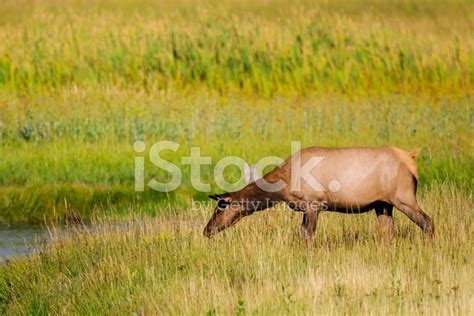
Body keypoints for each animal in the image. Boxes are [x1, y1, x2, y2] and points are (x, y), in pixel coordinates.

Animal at [202, 147, 436, 241]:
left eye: (220, 207)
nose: (206, 231)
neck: (283, 187)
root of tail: (411, 158)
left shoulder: (314, 203)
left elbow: (307, 234)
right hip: (383, 204)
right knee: (388, 232)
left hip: (404, 197)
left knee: (428, 221)